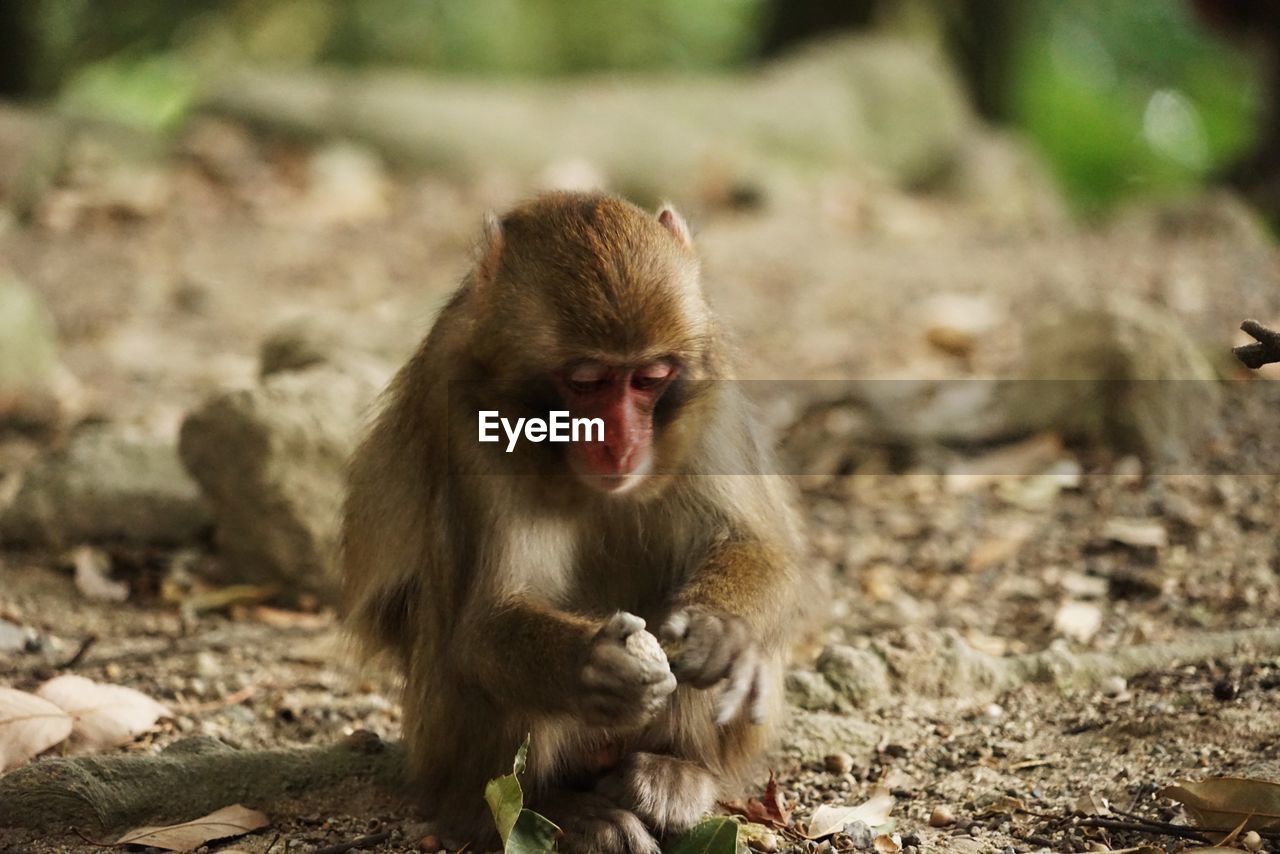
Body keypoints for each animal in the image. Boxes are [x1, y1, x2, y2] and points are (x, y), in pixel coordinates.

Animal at [340, 193, 798, 854]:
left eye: (650, 378)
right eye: (586, 381)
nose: (621, 444)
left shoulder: (710, 393)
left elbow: (761, 546)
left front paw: (721, 633)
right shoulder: (470, 418)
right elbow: (483, 624)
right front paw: (596, 664)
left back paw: (677, 771)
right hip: (441, 750)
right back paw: (555, 811)